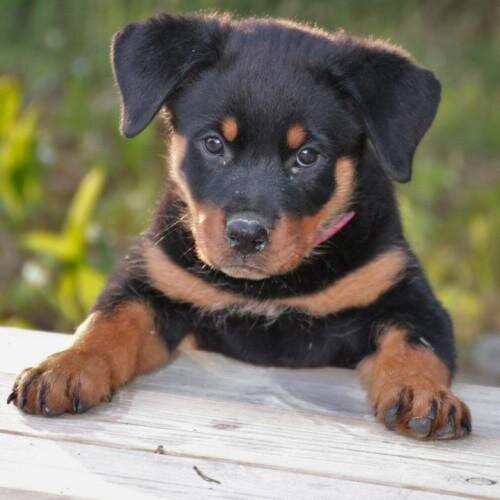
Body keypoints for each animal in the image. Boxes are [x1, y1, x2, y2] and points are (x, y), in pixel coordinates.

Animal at [8, 13, 471, 440]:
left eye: (307, 156)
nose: (247, 234)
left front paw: (422, 394)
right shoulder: (153, 282)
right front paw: (66, 367)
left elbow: (416, 346)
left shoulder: (408, 297)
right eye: (214, 143)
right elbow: (108, 322)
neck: (268, 290)